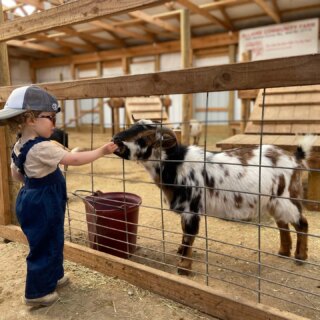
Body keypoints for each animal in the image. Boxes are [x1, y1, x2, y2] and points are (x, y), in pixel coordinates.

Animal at [112, 120, 312, 276]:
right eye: (132, 126)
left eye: (144, 137)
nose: (115, 139)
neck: (176, 164)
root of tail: (295, 158)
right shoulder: (186, 209)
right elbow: (184, 233)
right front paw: (180, 252)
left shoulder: (192, 209)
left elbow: (189, 236)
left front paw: (184, 268)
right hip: (274, 201)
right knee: (282, 224)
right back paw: (284, 252)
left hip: (287, 197)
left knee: (302, 223)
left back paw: (300, 257)